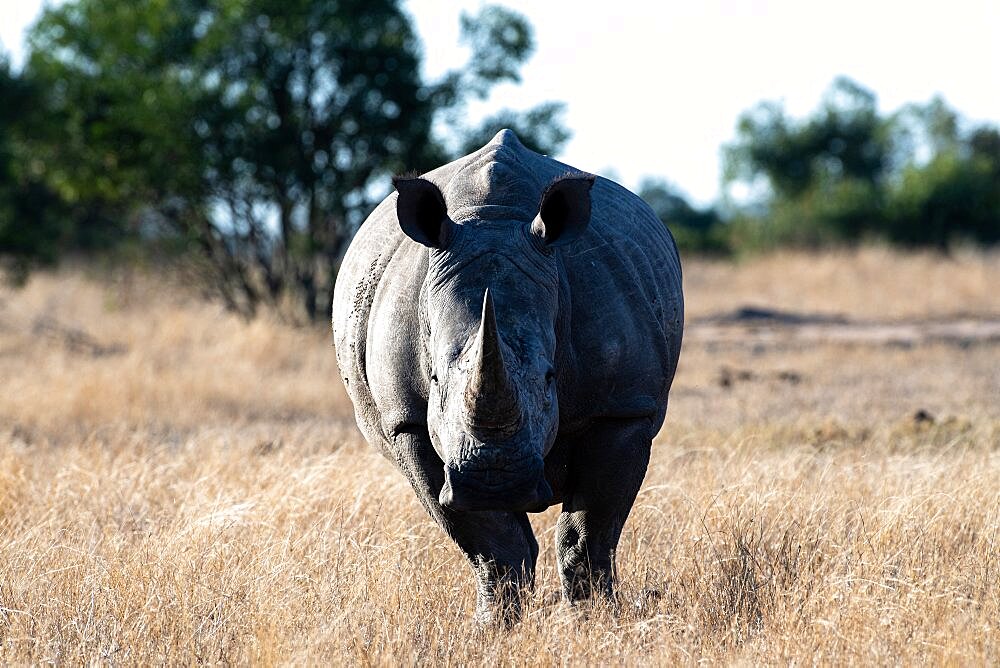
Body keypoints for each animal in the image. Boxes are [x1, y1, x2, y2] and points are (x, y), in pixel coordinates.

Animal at [332, 132, 684, 628]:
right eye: (433, 378)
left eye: (550, 378)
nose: (494, 480)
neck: (493, 219)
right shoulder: (408, 422)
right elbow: (490, 542)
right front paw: (493, 627)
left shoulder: (623, 408)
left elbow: (590, 530)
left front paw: (593, 621)